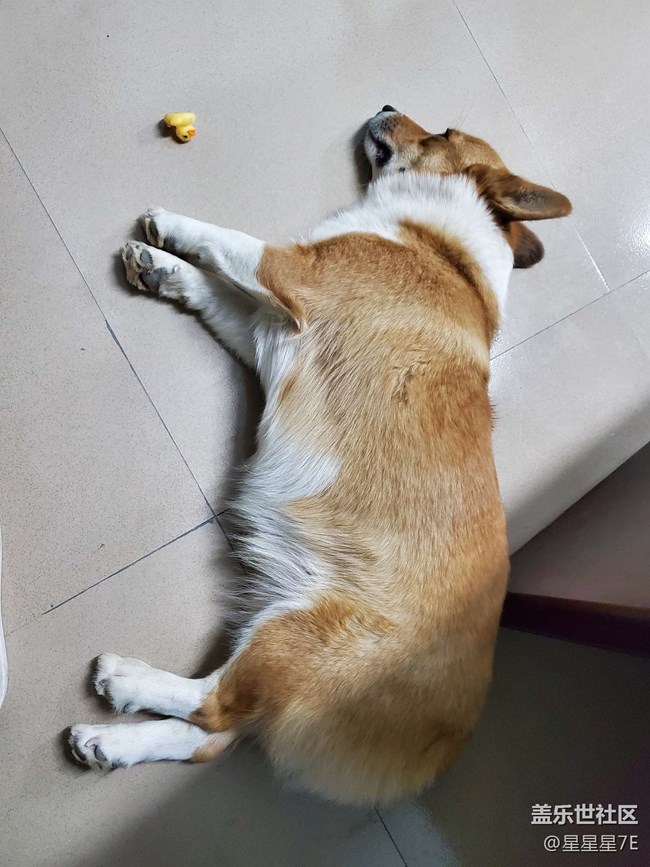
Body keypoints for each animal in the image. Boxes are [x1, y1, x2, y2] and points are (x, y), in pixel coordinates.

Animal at [68, 107, 571, 804]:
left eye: (443, 132)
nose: (385, 105)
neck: (444, 245)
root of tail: (436, 753)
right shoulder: (260, 326)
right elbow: (207, 286)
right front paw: (161, 266)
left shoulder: (290, 271)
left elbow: (227, 240)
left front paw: (167, 226)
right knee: (210, 737)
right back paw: (108, 745)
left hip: (294, 633)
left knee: (212, 708)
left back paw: (125, 679)